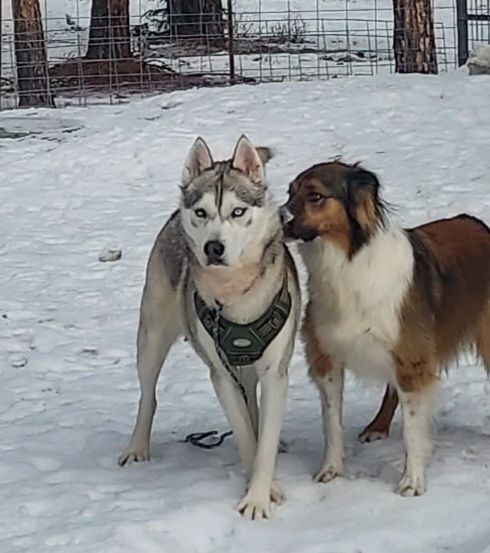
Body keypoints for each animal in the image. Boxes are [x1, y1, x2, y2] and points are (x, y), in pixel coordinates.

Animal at [284, 160, 490, 496]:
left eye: (315, 196)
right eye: (290, 193)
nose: (279, 218)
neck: (346, 264)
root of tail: (476, 224)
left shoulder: (412, 360)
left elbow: (412, 430)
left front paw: (413, 481)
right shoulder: (327, 359)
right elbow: (331, 424)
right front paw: (331, 469)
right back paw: (377, 426)